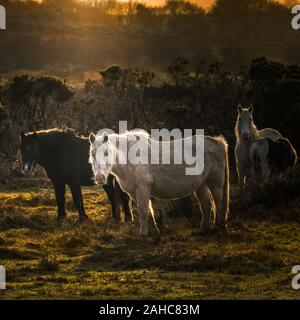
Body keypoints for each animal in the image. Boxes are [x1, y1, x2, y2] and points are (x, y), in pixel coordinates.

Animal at [89, 130, 230, 238]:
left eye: (106, 152)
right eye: (92, 153)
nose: (100, 178)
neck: (129, 159)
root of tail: (219, 143)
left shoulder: (143, 189)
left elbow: (143, 211)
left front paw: (144, 234)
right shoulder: (134, 192)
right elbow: (147, 210)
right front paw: (155, 232)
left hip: (215, 183)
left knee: (218, 204)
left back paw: (218, 227)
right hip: (201, 185)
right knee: (206, 205)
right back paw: (203, 229)